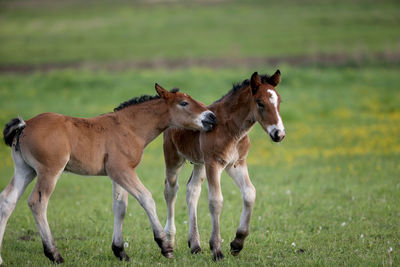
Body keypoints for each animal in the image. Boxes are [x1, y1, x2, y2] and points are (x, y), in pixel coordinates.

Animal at [0, 84, 216, 266]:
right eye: (184, 103)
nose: (212, 117)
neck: (129, 127)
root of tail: (25, 125)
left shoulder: (116, 174)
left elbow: (120, 207)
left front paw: (120, 251)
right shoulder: (122, 170)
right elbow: (146, 198)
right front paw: (165, 246)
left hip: (25, 170)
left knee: (7, 200)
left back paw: (2, 258)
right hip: (49, 171)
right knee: (37, 203)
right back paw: (54, 254)